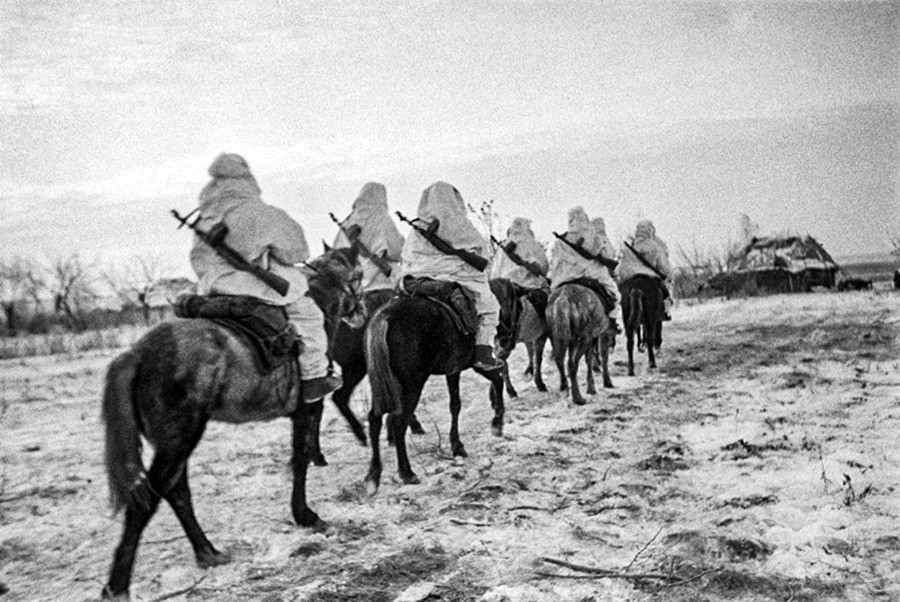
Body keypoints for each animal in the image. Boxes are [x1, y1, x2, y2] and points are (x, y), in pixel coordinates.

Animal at [99, 245, 362, 600]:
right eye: (358, 276)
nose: (361, 312)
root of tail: (138, 353)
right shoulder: (308, 408)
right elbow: (301, 459)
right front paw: (305, 515)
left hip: (175, 442)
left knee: (176, 491)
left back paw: (207, 552)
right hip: (179, 440)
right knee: (148, 500)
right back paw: (118, 584)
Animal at [364, 288, 506, 492]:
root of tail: (385, 316)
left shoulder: (453, 370)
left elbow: (455, 405)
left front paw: (457, 446)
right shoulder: (478, 364)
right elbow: (497, 381)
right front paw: (497, 423)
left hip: (381, 383)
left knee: (375, 419)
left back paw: (374, 475)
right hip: (412, 384)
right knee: (399, 422)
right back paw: (407, 472)